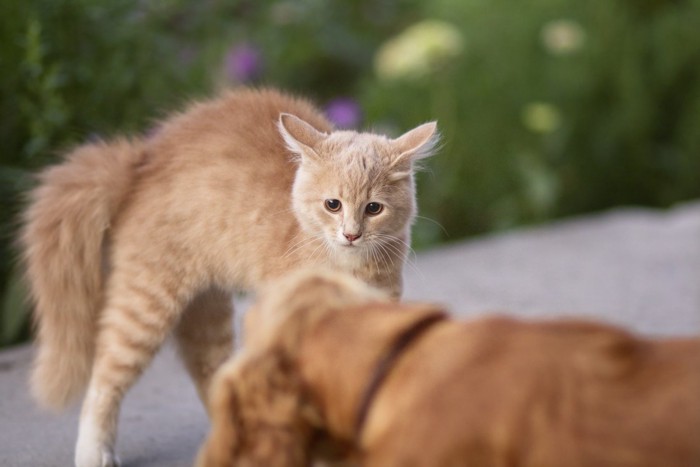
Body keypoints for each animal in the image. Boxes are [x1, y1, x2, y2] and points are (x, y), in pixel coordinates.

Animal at [20, 86, 438, 466]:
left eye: (374, 208)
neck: (347, 267)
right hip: (145, 305)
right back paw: (94, 452)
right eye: (332, 205)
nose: (351, 234)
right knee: (105, 377)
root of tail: (140, 161)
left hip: (206, 313)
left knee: (211, 377)